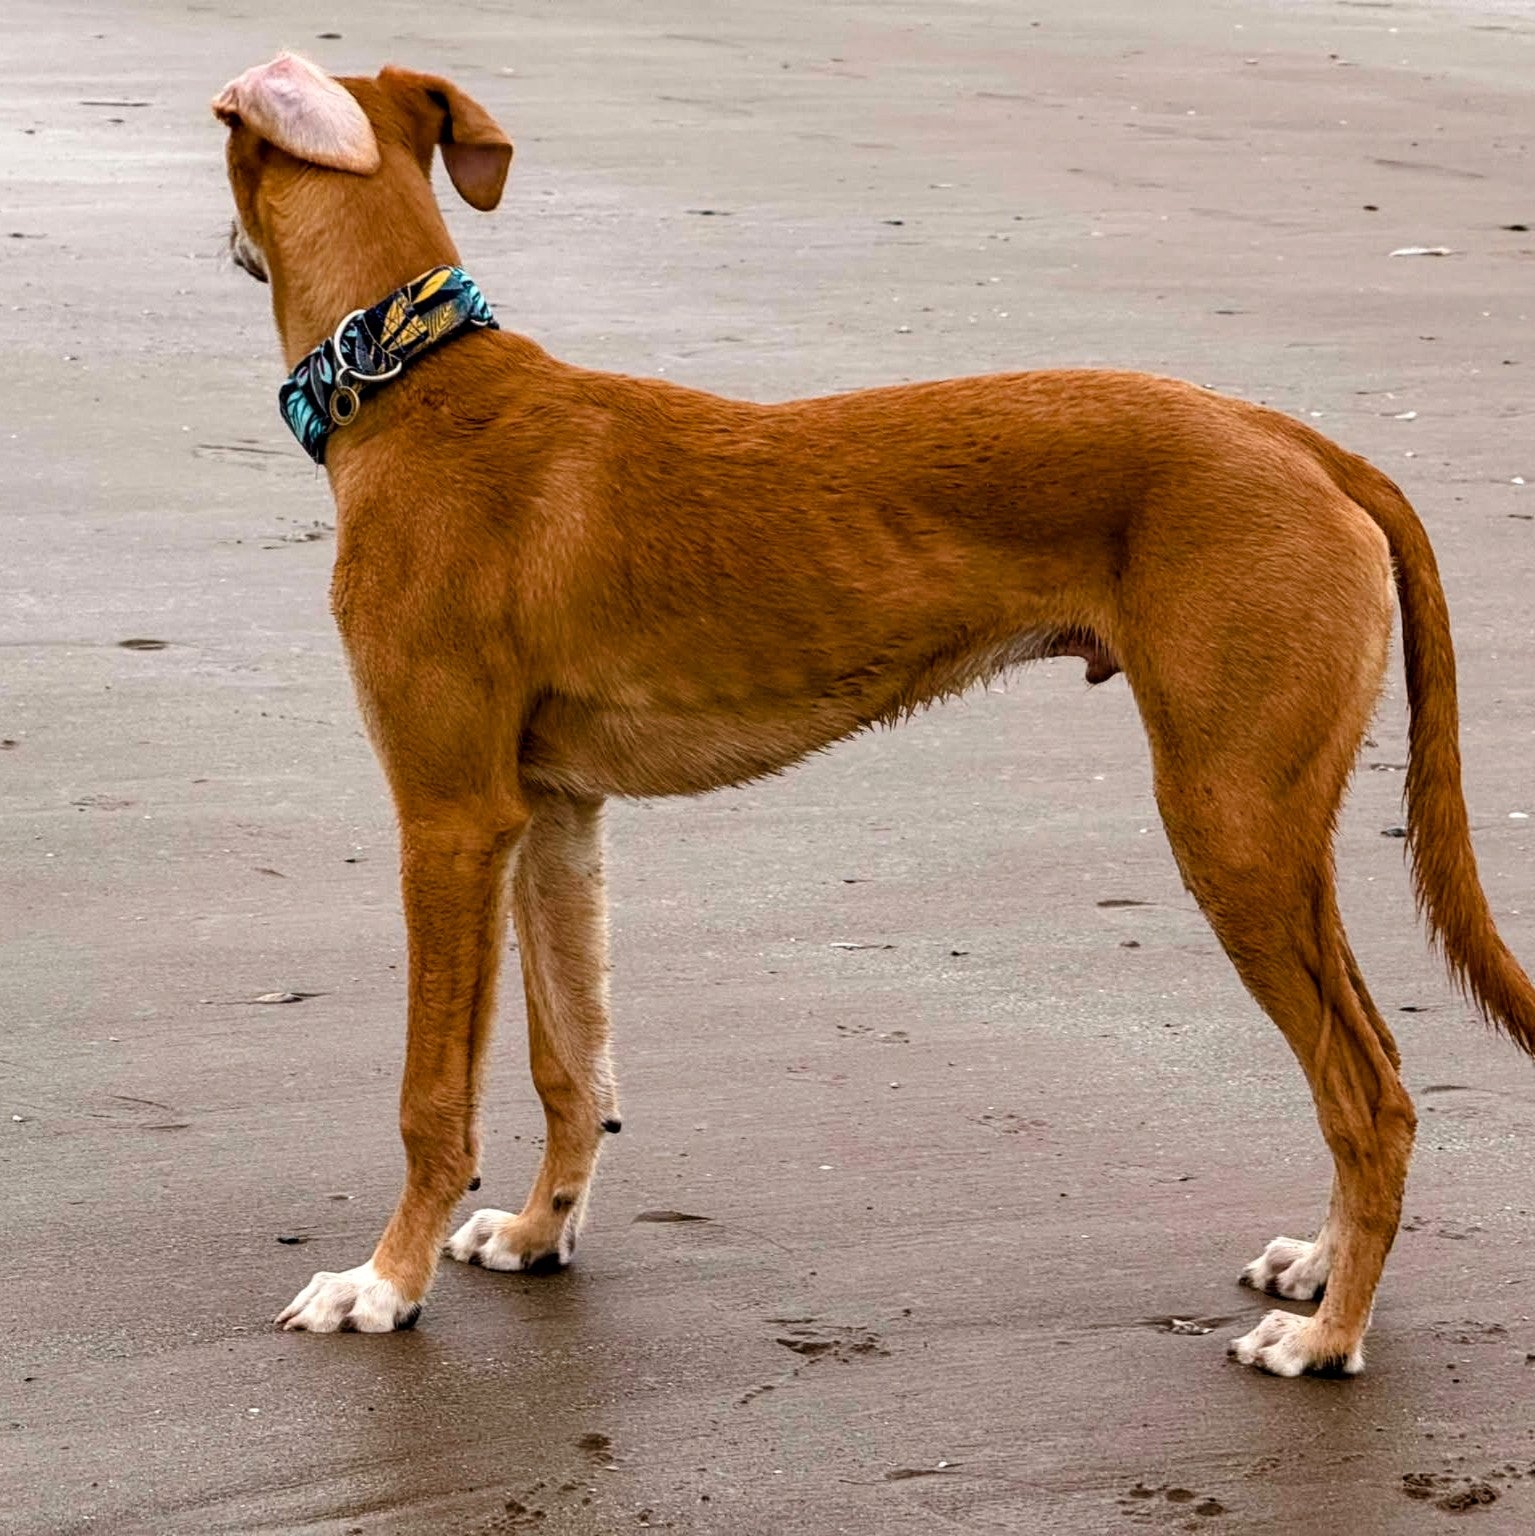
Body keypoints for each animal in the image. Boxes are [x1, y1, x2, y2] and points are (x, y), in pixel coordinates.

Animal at [213, 54, 1535, 1376]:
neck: (410, 381)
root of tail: (1301, 441)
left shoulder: (448, 819)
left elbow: (431, 1095)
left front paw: (384, 1284)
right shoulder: (552, 815)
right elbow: (569, 1061)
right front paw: (541, 1232)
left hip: (1231, 824)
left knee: (1370, 1094)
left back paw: (1326, 1339)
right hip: (1270, 829)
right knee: (1373, 1066)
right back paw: (1317, 1270)